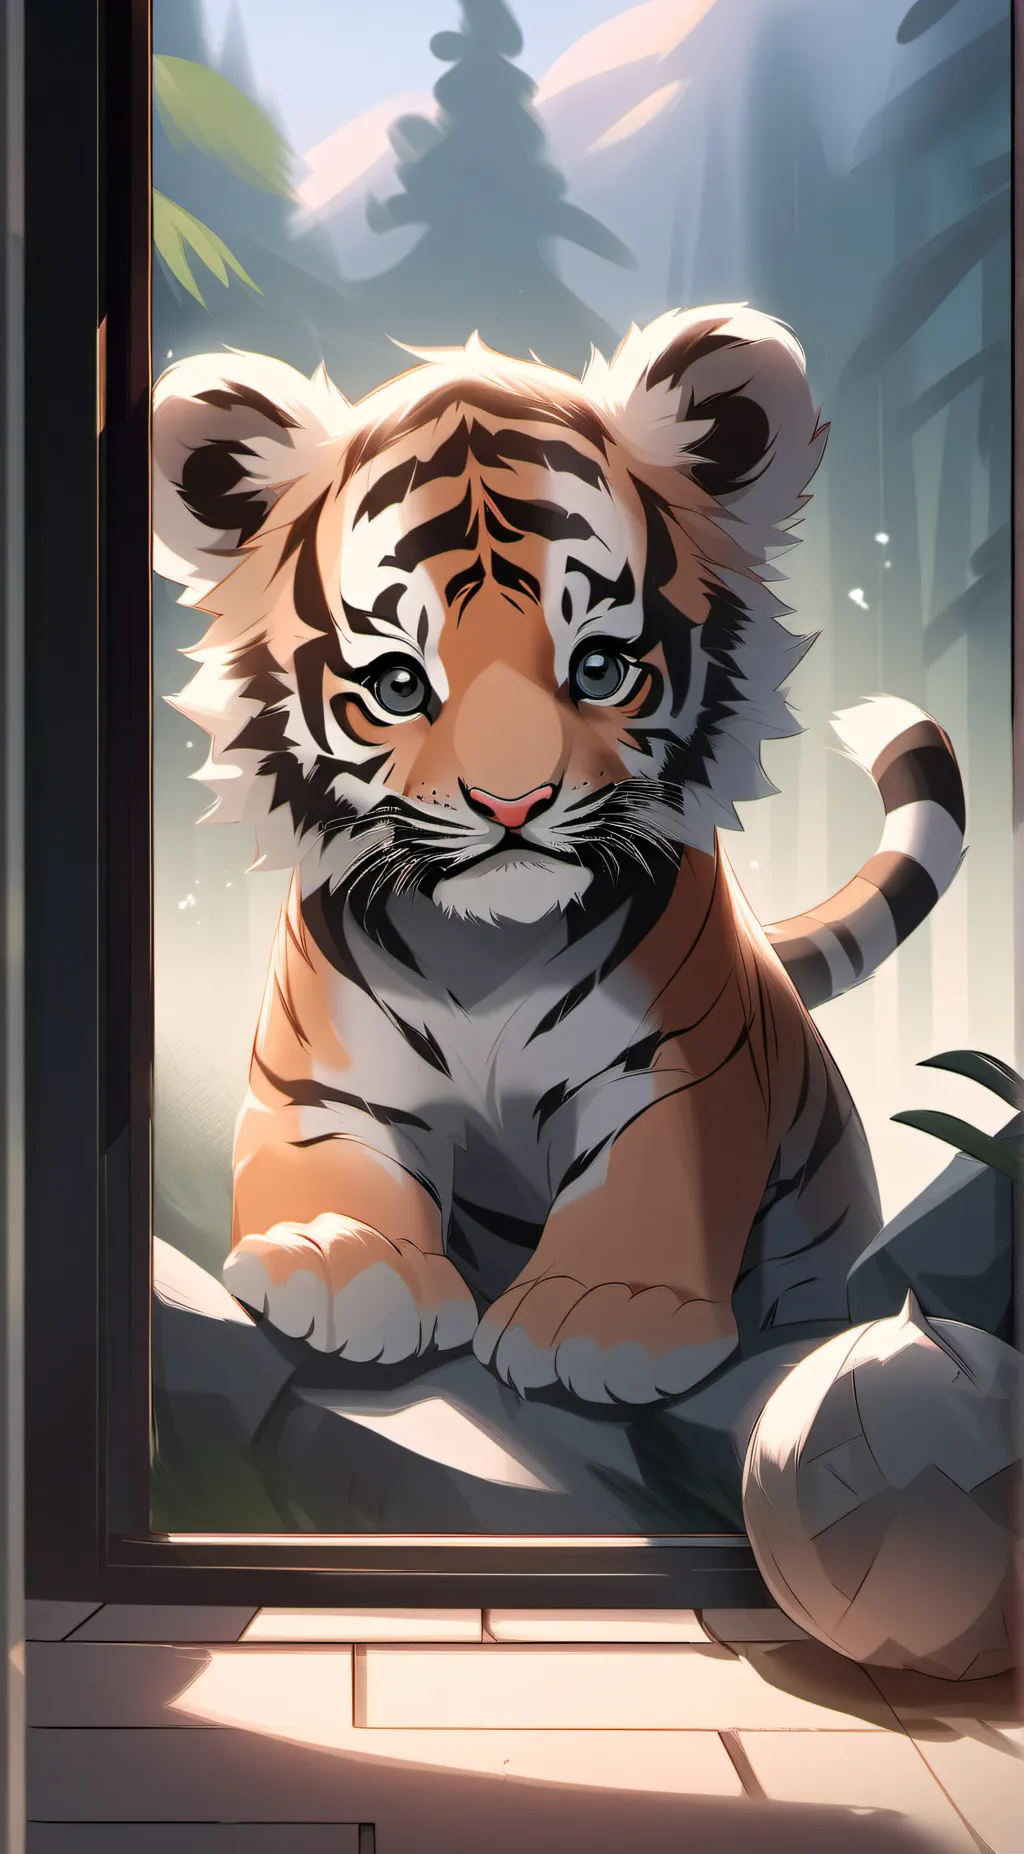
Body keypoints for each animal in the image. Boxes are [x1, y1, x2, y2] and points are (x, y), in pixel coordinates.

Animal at [151, 305, 965, 1406]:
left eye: (601, 667)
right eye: (399, 685)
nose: (513, 804)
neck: (484, 956)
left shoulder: (670, 1073)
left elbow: (647, 1183)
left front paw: (603, 1314)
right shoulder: (323, 1083)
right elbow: (331, 1165)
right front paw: (343, 1264)